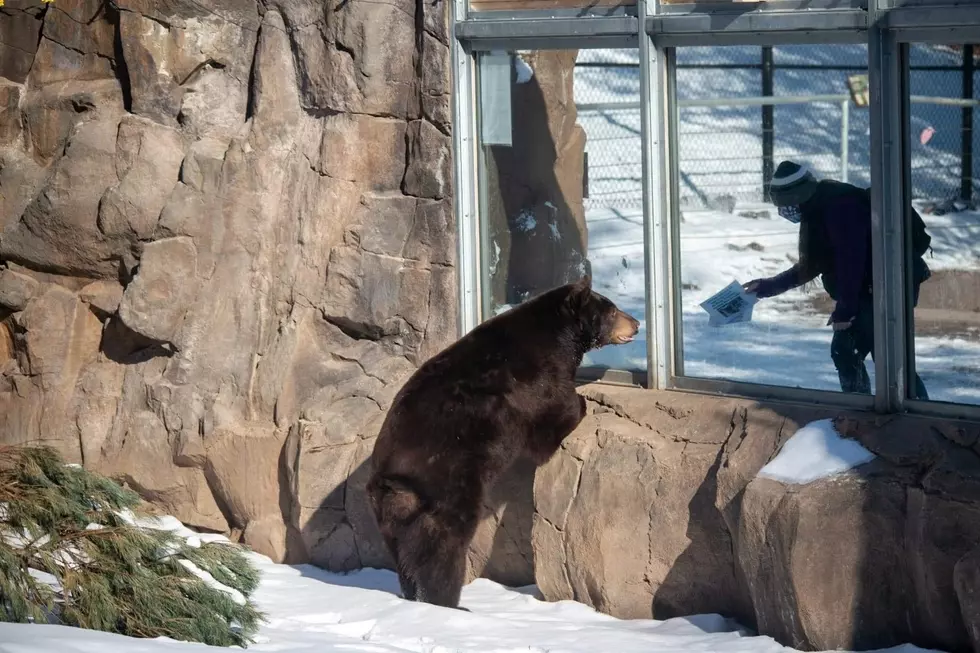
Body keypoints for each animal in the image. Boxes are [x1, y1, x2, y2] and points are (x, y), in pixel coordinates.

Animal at [364, 276, 640, 612]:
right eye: (611, 310)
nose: (636, 323)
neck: (559, 335)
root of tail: (388, 480)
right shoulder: (536, 382)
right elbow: (552, 418)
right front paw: (582, 404)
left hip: (390, 519)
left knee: (404, 557)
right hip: (445, 485)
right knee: (443, 545)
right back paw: (451, 603)